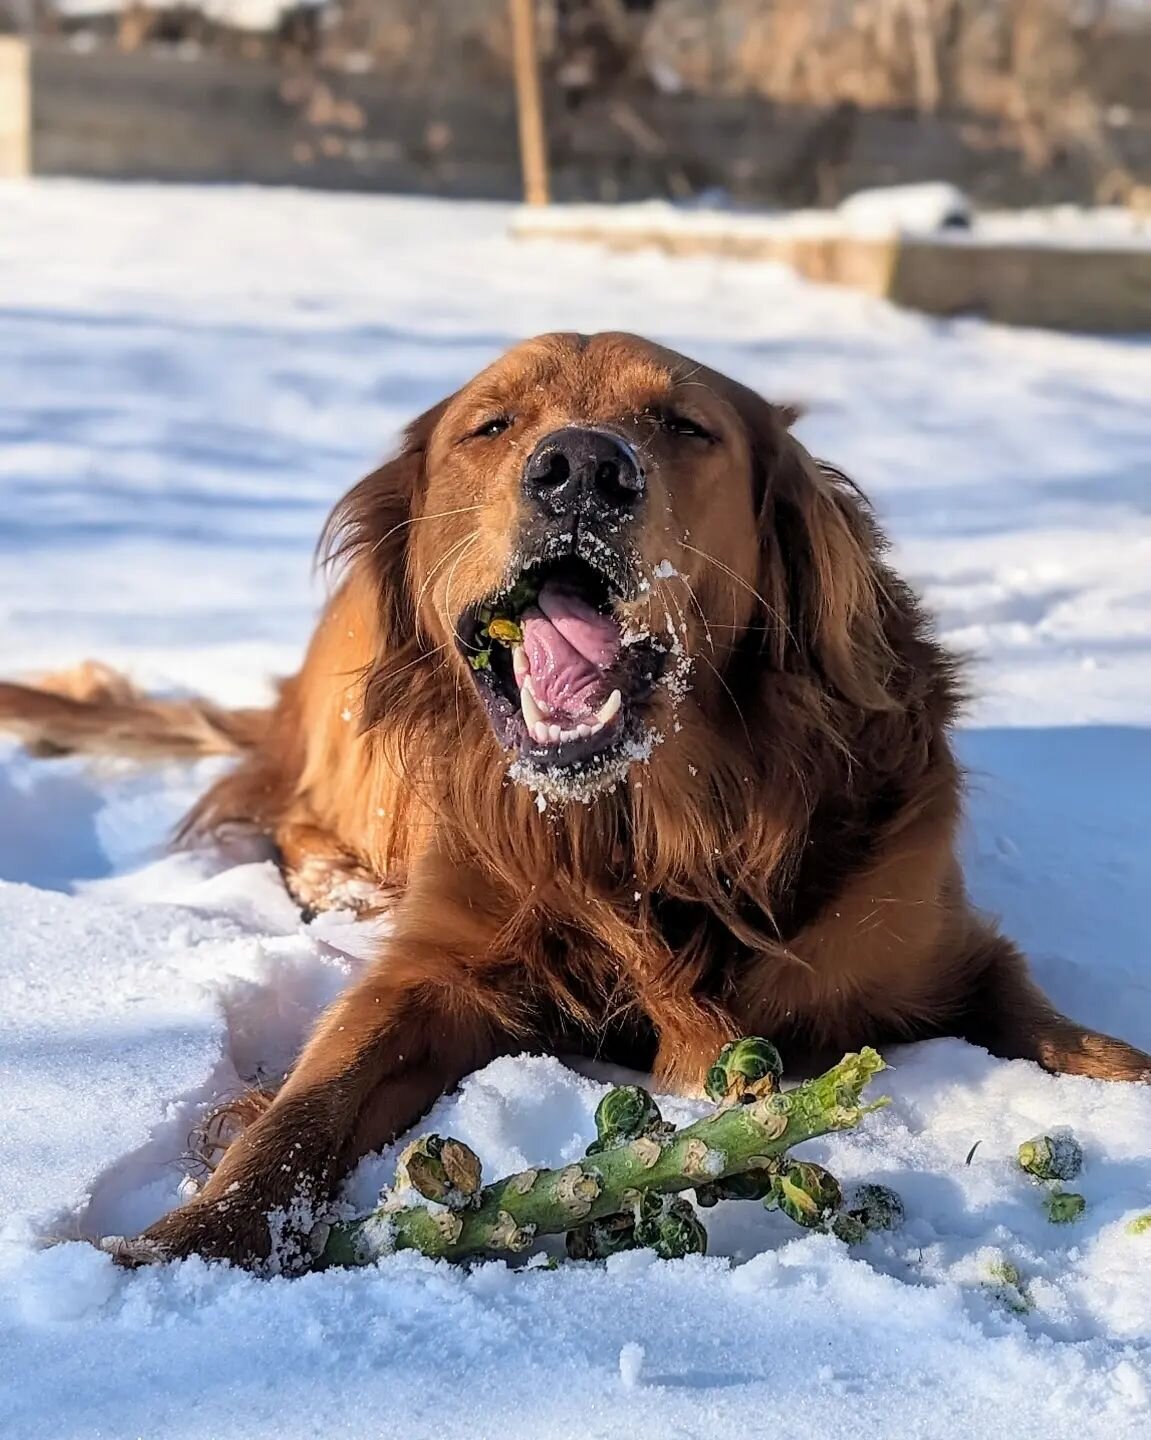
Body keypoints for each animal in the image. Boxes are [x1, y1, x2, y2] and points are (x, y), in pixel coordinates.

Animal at [4, 329, 1146, 1272]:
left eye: (684, 425)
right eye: (492, 425)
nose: (583, 471)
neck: (646, 837)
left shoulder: (941, 948)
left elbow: (1065, 1033)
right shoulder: (432, 965)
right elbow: (303, 1108)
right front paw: (186, 1243)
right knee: (292, 817)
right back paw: (338, 886)